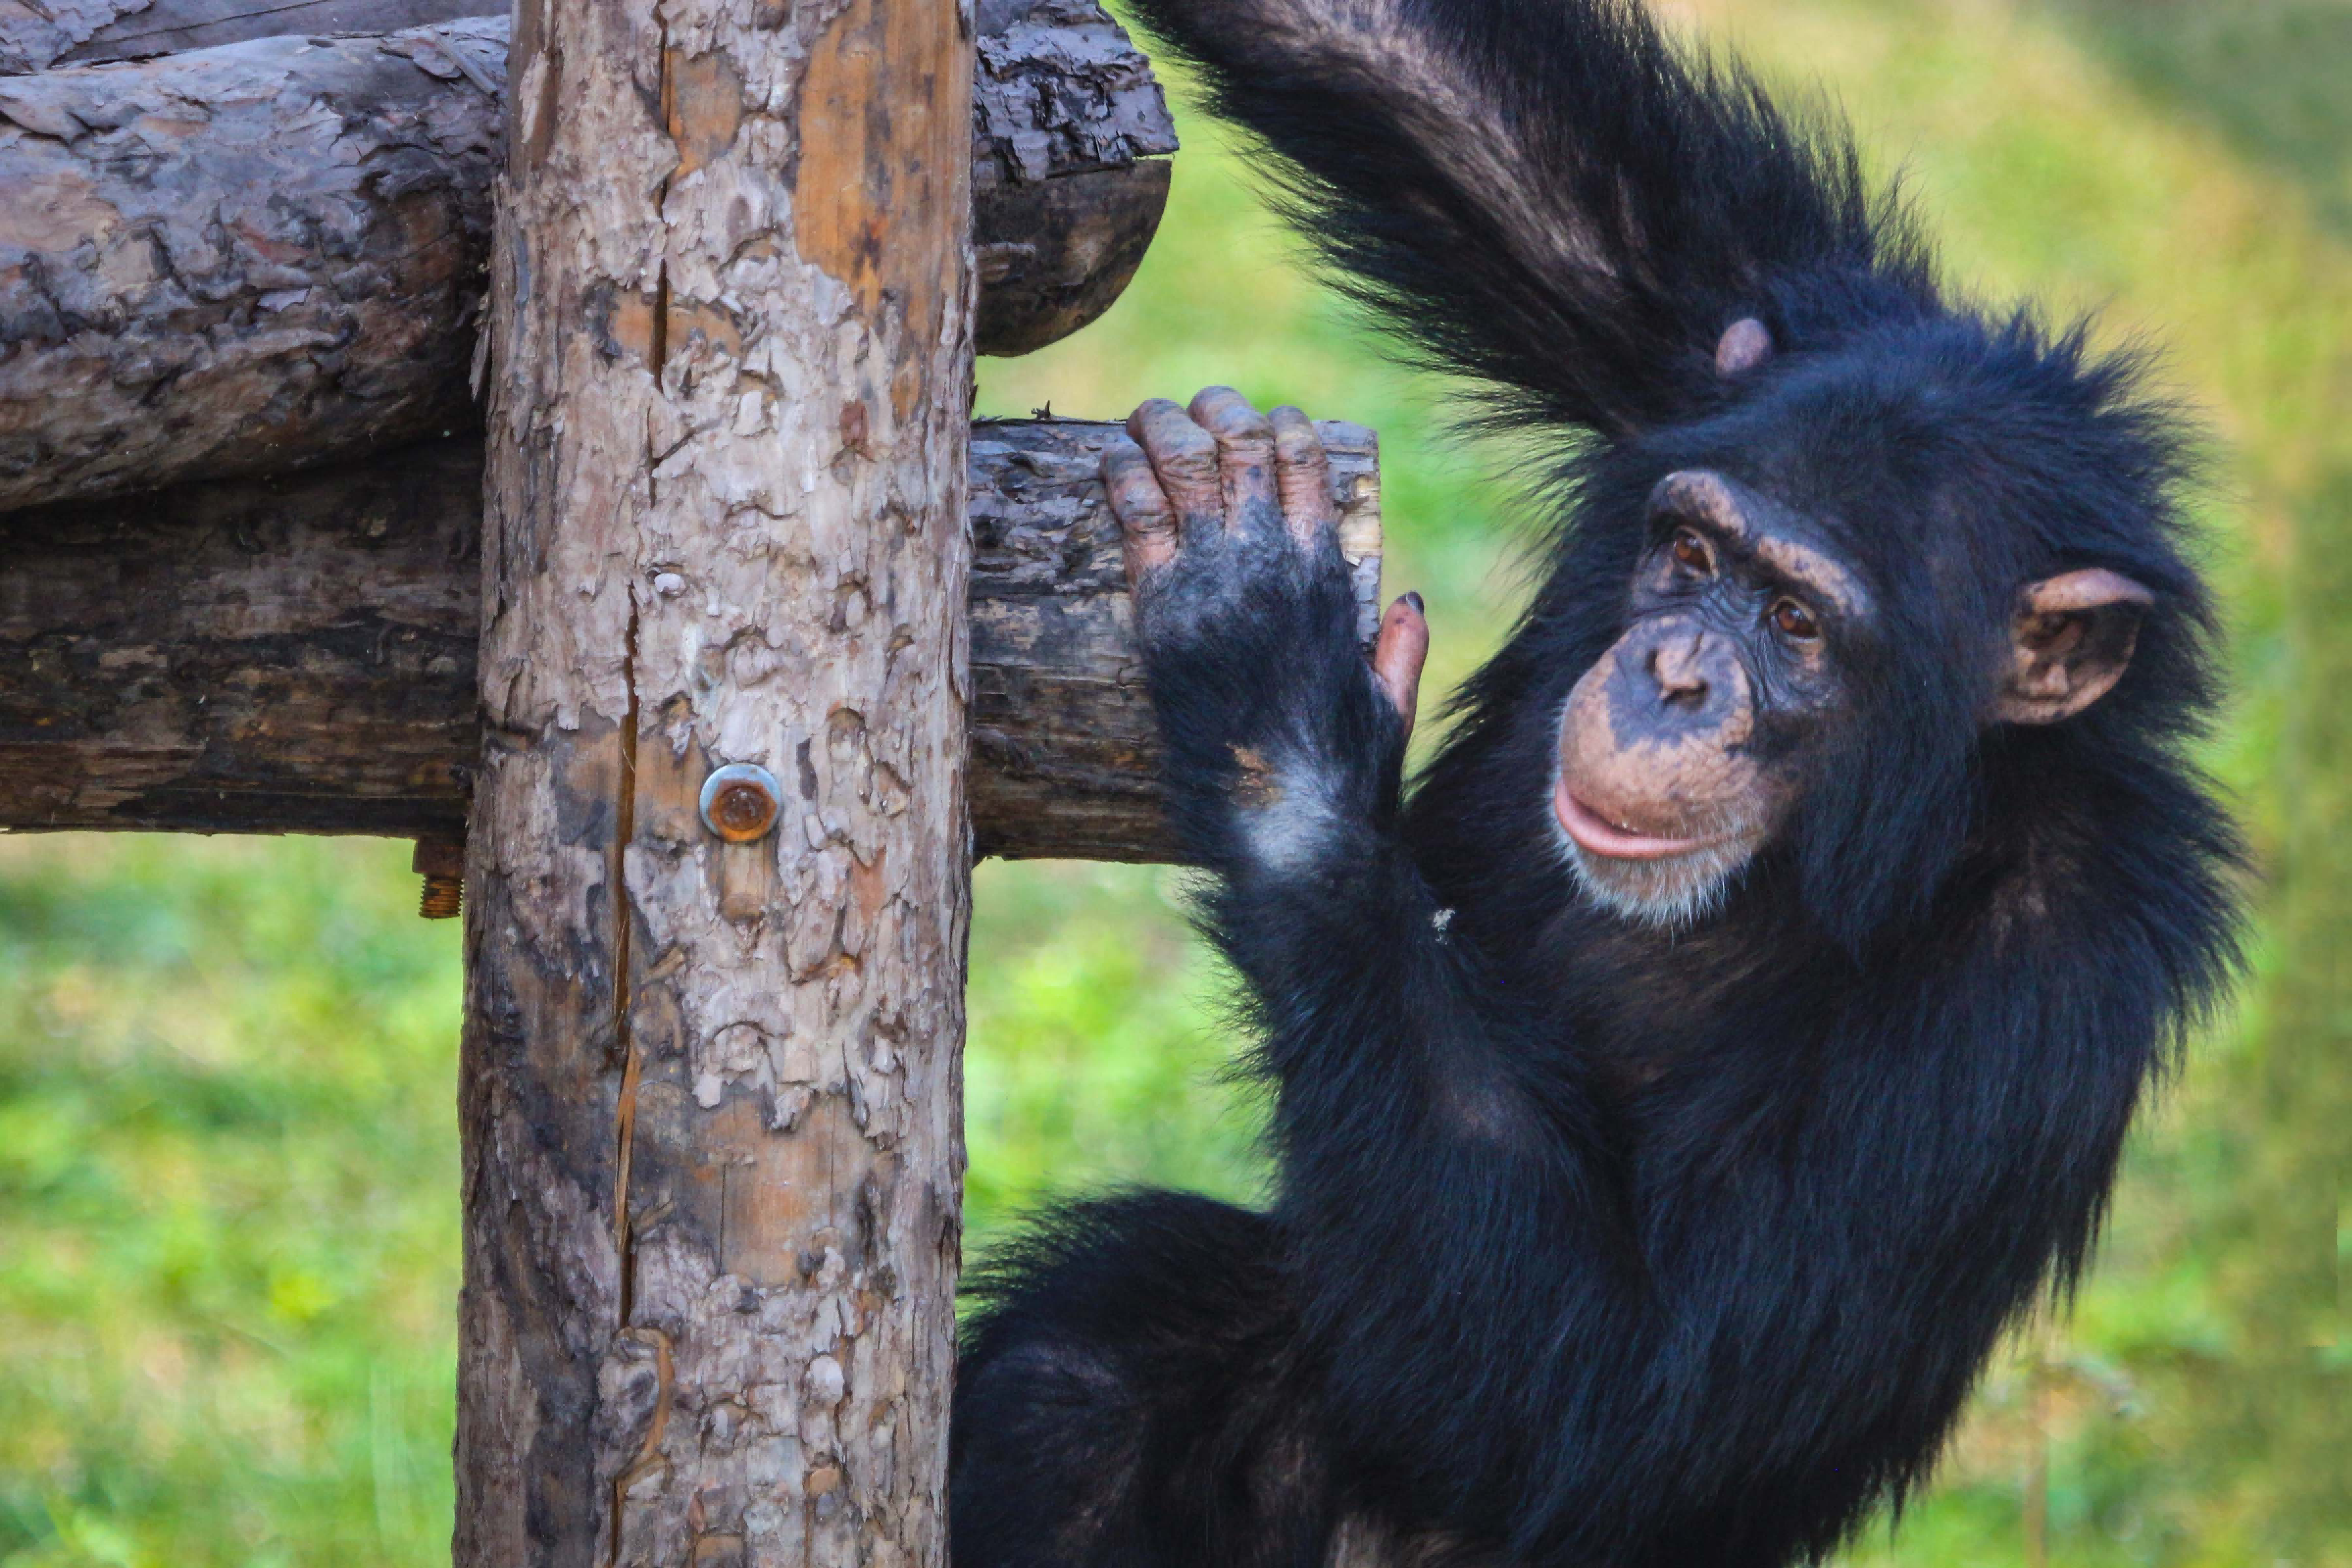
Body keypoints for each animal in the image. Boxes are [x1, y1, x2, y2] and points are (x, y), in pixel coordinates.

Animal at [950, 0, 2239, 1561]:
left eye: (1794, 621)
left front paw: (1278, 693)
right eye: (1690, 553)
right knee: (1083, 1376)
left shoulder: (2045, 978)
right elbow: (1425, 85)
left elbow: (1625, 1390)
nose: (1673, 669)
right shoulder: (1701, 338)